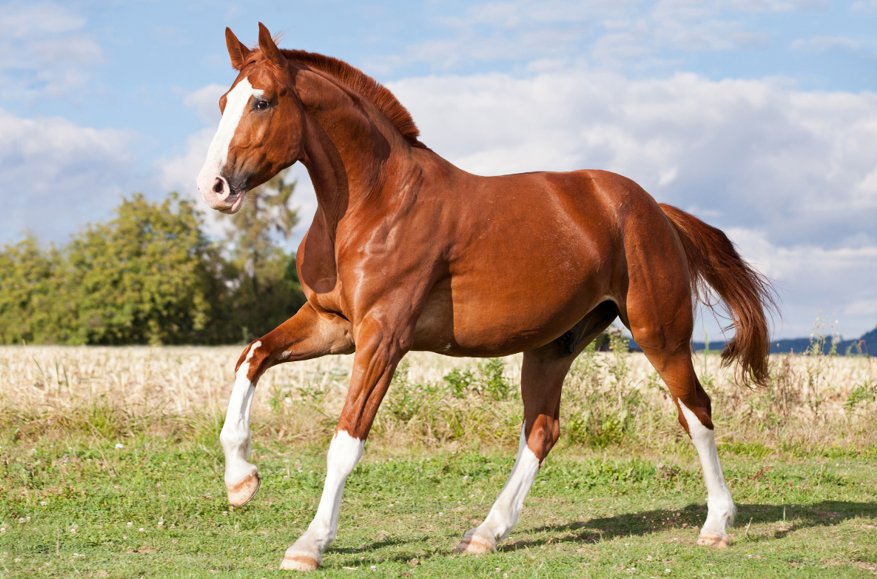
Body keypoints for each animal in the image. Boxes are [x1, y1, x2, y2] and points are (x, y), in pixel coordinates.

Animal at [197, 23, 772, 572]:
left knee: (695, 411)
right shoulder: (331, 324)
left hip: (659, 334)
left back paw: (717, 525)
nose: (213, 187)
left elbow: (345, 440)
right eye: (224, 102)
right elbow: (251, 358)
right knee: (542, 430)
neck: (375, 202)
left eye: (262, 101)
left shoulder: (383, 337)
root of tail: (656, 211)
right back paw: (485, 534)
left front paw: (309, 544)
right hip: (552, 347)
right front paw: (241, 481)